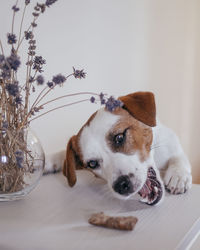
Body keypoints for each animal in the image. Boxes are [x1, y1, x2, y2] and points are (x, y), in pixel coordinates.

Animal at [45, 92, 192, 205]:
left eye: (120, 137)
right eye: (92, 163)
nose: (122, 185)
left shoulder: (170, 144)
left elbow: (178, 157)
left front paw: (178, 175)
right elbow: (63, 155)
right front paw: (49, 160)